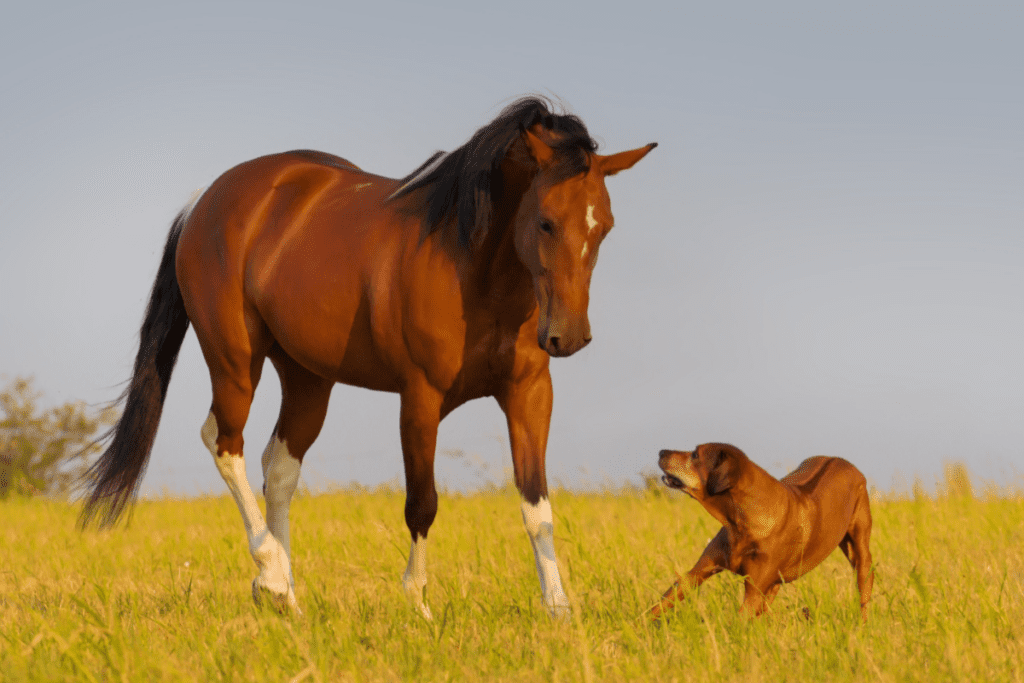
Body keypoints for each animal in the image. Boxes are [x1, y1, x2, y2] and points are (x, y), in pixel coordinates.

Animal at [79, 97, 655, 618]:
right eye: (546, 223)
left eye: (604, 226)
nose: (568, 337)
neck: (469, 264)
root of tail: (206, 201)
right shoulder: (420, 398)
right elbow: (422, 504)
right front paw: (417, 604)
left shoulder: (529, 394)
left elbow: (538, 506)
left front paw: (558, 609)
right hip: (235, 361)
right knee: (224, 443)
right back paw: (270, 572)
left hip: (307, 378)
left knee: (279, 468)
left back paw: (286, 596)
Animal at [651, 444, 876, 618]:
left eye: (695, 455)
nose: (661, 451)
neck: (741, 520)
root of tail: (841, 460)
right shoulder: (700, 570)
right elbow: (661, 603)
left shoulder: (755, 589)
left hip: (860, 554)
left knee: (864, 587)